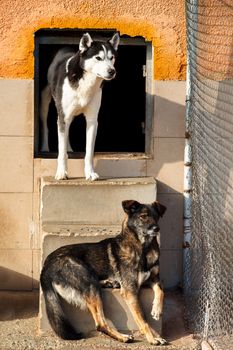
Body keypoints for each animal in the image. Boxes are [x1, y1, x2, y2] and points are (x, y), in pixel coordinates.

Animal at [40, 200, 167, 344]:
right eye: (143, 216)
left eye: (156, 216)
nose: (156, 229)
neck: (144, 248)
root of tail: (45, 266)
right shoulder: (130, 291)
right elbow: (143, 319)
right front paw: (152, 338)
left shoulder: (154, 278)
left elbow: (161, 290)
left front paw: (157, 310)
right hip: (87, 278)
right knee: (100, 324)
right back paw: (122, 337)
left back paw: (110, 282)